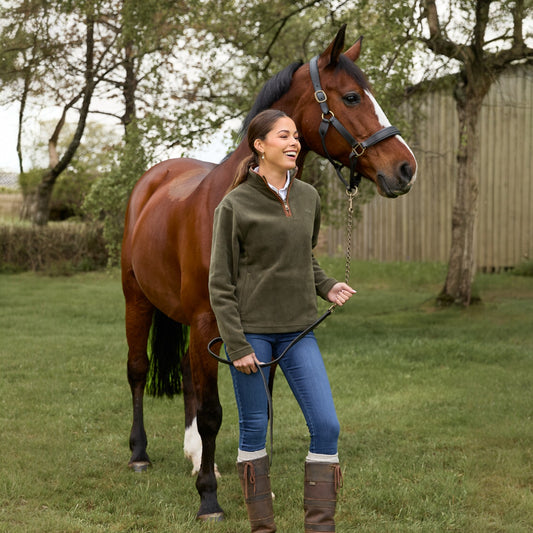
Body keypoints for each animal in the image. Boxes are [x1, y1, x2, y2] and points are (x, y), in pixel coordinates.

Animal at [119, 25, 416, 520]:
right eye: (352, 97)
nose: (406, 168)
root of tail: (153, 179)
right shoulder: (207, 321)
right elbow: (215, 413)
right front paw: (209, 499)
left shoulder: (257, 335)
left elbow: (257, 405)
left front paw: (252, 486)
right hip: (137, 301)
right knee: (138, 370)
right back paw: (139, 455)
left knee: (185, 374)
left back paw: (196, 456)